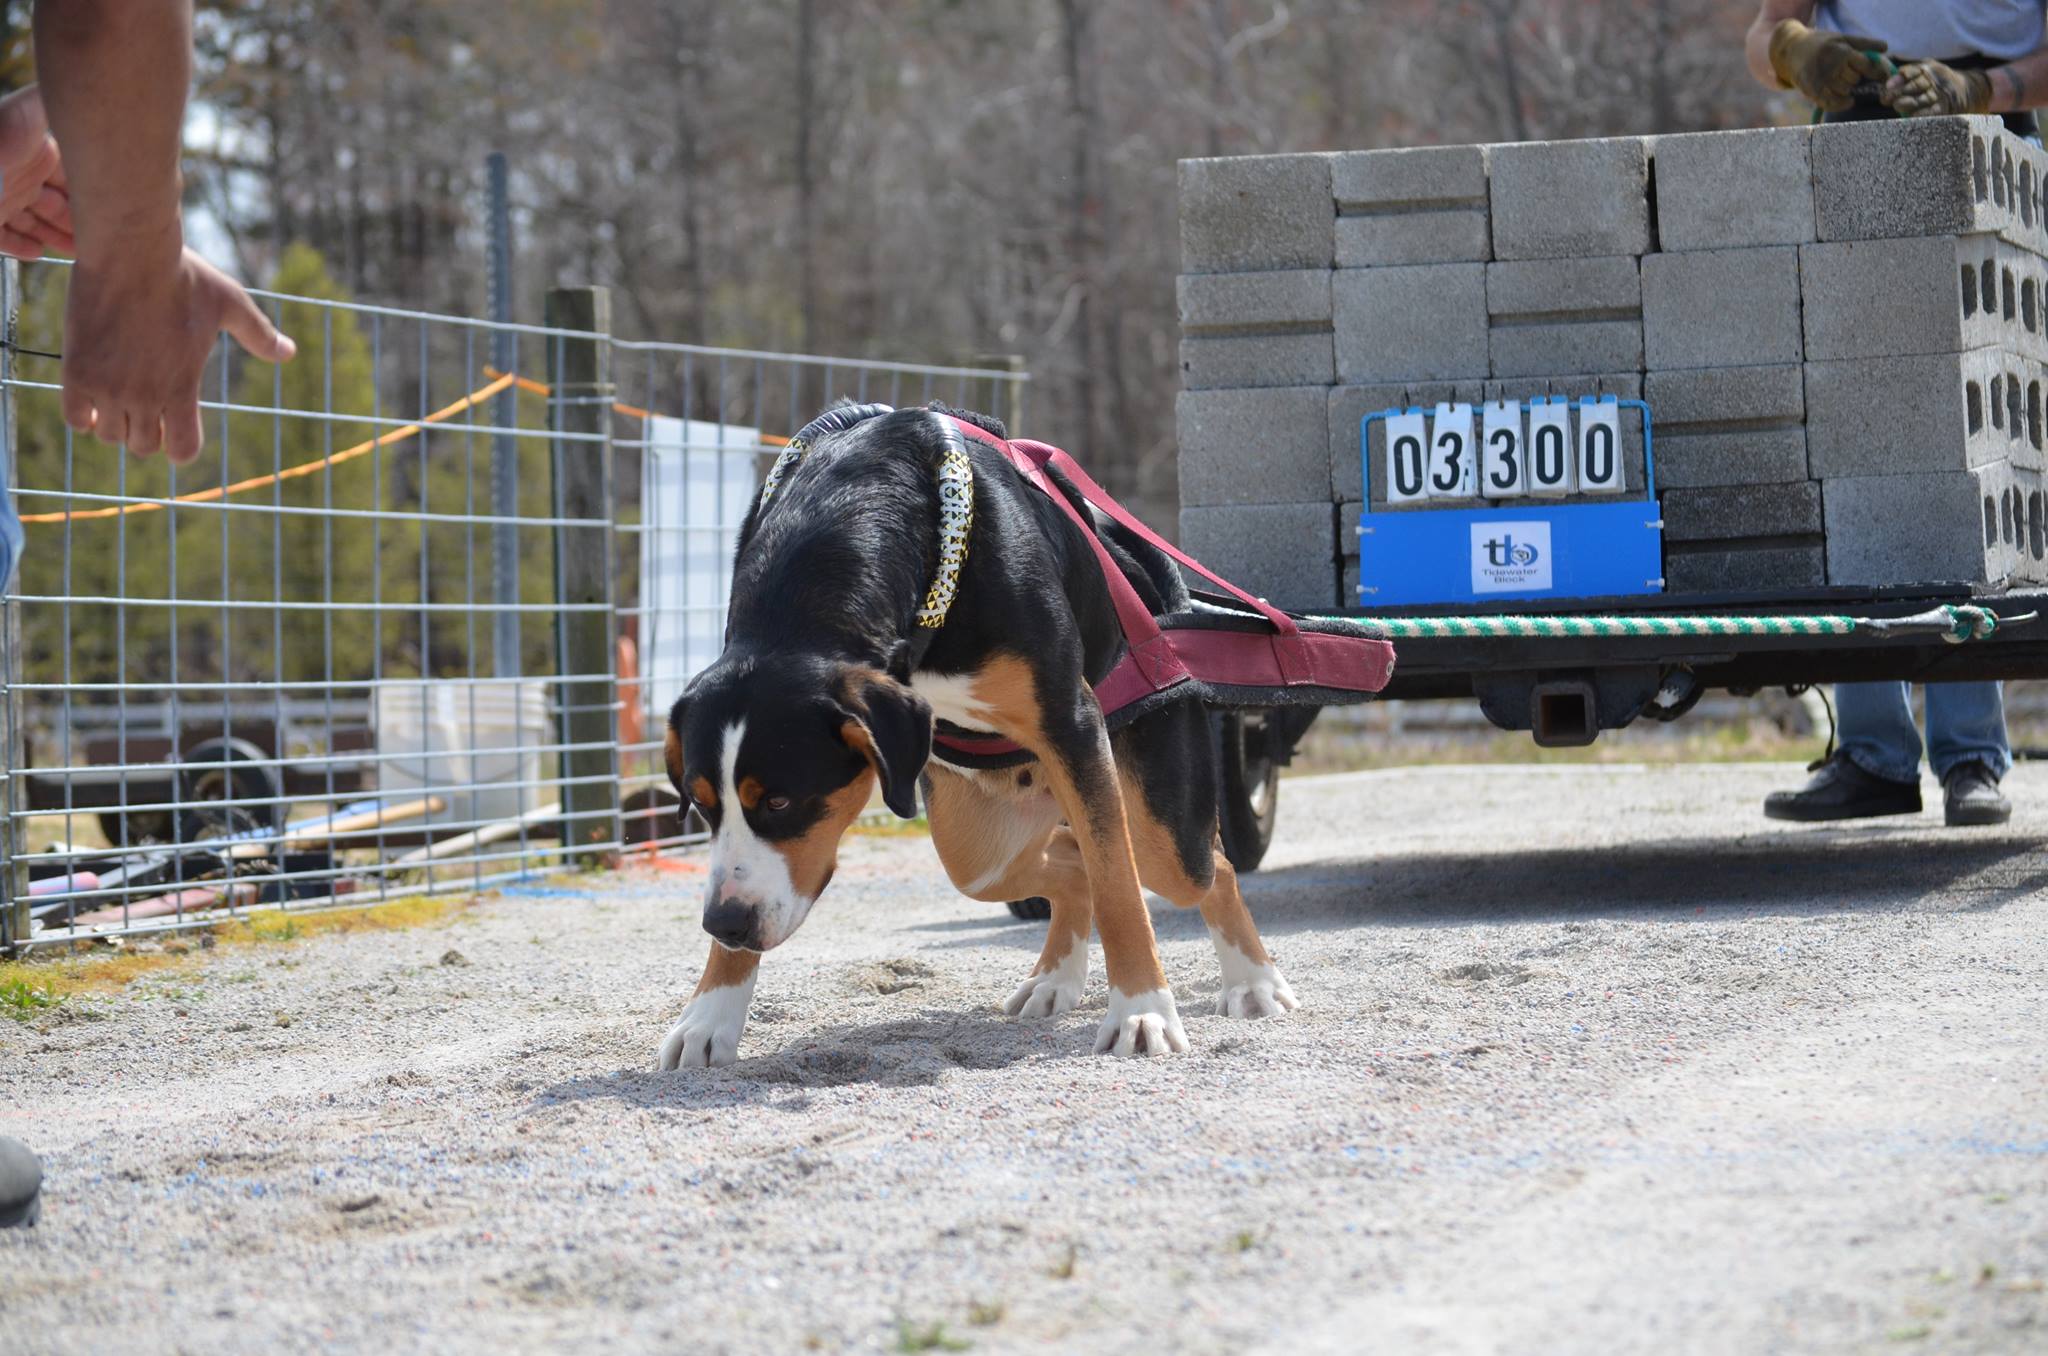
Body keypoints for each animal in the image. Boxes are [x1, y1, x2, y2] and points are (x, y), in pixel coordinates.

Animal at [655, 403, 1294, 1073]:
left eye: (780, 801)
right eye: (702, 806)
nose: (724, 923)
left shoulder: (1074, 726)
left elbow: (1119, 888)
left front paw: (1141, 1011)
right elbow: (1097, 874)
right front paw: (710, 1016)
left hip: (1159, 832)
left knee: (1203, 867)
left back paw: (1252, 981)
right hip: (981, 851)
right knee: (1070, 869)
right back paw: (1055, 979)